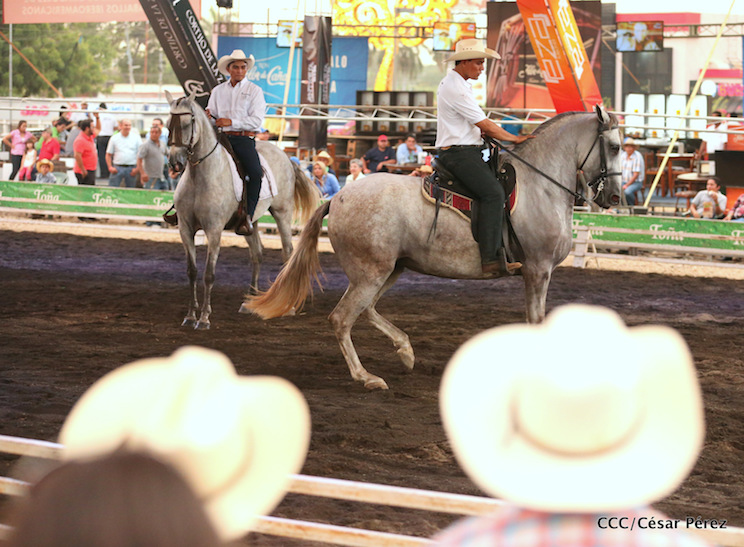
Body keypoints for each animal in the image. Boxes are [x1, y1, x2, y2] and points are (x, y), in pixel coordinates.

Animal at [165, 90, 319, 330]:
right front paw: (190, 316)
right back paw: (250, 301)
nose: (175, 163)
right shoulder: (185, 229)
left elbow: (209, 274)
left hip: (282, 213)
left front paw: (204, 318)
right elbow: (192, 272)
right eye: (167, 124)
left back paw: (289, 306)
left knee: (287, 253)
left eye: (187, 123)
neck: (201, 177)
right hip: (250, 222)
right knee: (257, 254)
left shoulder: (214, 230)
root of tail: (286, 156)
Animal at [244, 106, 622, 389]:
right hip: (371, 273)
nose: (615, 197)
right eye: (616, 146)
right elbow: (536, 319)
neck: (539, 187)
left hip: (389, 270)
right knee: (342, 318)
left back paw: (405, 351)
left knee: (367, 310)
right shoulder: (537, 270)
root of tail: (337, 199)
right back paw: (367, 377)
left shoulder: (537, 273)